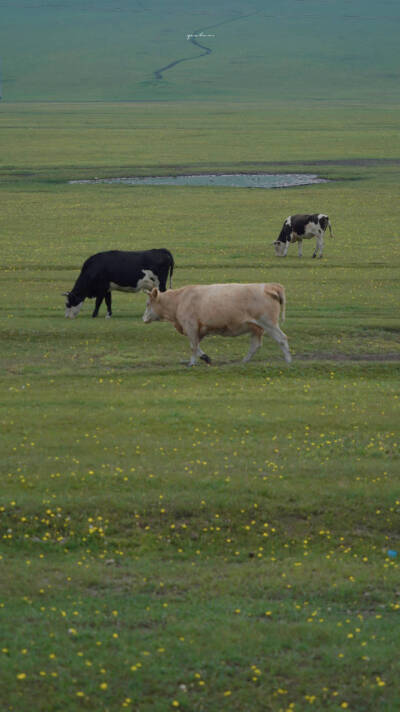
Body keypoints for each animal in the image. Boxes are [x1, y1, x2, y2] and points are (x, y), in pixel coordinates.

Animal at [142, 280, 292, 364]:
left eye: (148, 303)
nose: (143, 318)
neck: (179, 300)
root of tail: (269, 286)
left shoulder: (191, 326)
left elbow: (193, 346)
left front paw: (192, 363)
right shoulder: (198, 329)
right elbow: (195, 345)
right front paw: (205, 357)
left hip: (268, 323)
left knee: (282, 338)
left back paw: (288, 360)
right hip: (256, 327)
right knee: (255, 345)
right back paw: (244, 361)